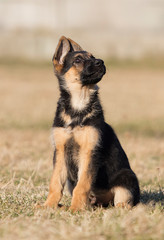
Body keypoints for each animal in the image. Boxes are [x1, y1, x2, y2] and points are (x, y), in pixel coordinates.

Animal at [44, 36, 140, 211]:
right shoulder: (60, 151)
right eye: (78, 60)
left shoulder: (89, 151)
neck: (78, 105)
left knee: (123, 201)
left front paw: (76, 208)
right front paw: (48, 206)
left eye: (93, 56)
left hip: (126, 176)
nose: (100, 62)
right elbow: (55, 183)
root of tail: (103, 203)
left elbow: (82, 185)